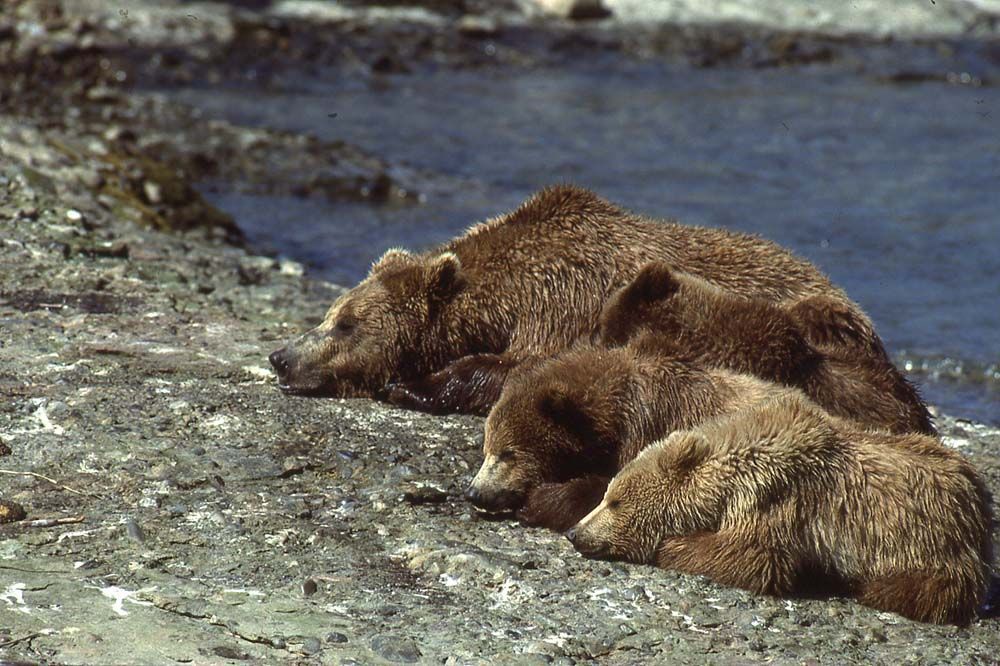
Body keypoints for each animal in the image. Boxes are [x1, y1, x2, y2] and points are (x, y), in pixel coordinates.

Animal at [268, 185, 876, 415]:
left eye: (346, 324)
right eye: (329, 315)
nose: (280, 357)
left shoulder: (568, 303)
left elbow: (525, 369)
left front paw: (413, 384)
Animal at [566, 392, 994, 625]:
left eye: (615, 500)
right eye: (606, 495)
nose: (575, 532)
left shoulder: (778, 498)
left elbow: (755, 558)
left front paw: (673, 545)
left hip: (930, 542)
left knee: (921, 588)